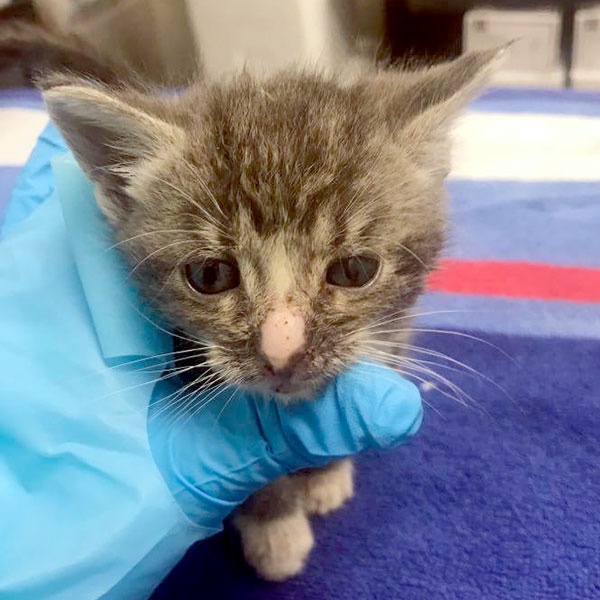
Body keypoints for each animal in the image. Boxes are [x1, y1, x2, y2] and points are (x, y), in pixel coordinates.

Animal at [1, 25, 502, 580]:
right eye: (210, 275)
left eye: (354, 270)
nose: (282, 350)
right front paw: (275, 529)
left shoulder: (396, 332)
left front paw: (326, 473)